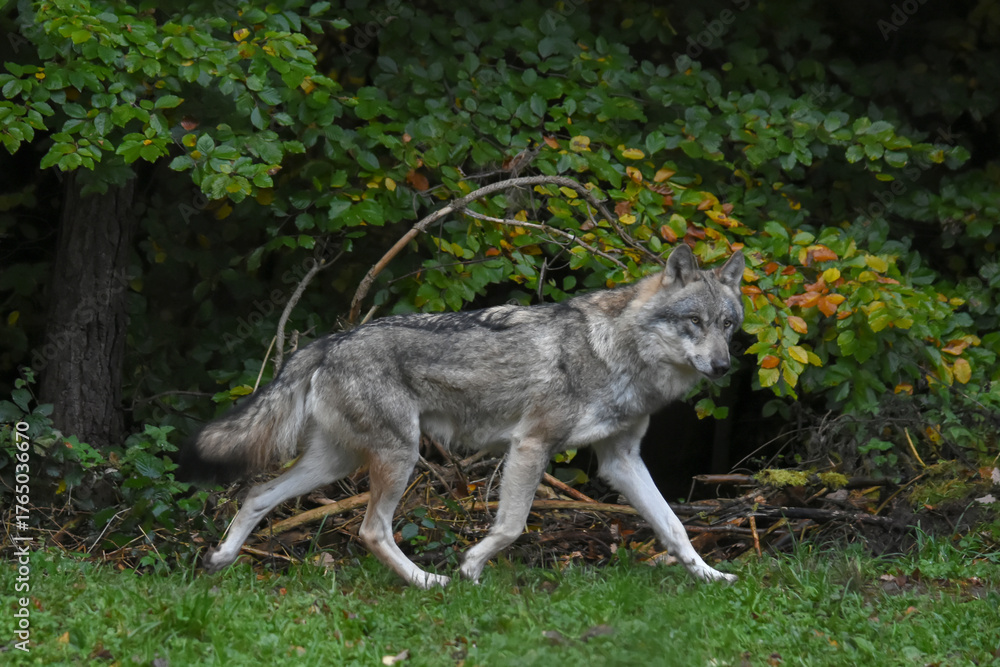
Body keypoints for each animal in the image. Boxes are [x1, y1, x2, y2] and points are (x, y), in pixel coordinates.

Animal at [182, 244, 745, 588]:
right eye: (694, 322)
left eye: (728, 325)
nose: (723, 367)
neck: (618, 354)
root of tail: (328, 341)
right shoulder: (531, 445)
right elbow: (512, 526)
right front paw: (471, 567)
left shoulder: (621, 460)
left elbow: (675, 527)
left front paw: (712, 577)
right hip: (398, 457)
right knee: (371, 530)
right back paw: (429, 582)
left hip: (336, 464)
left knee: (258, 493)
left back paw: (221, 560)